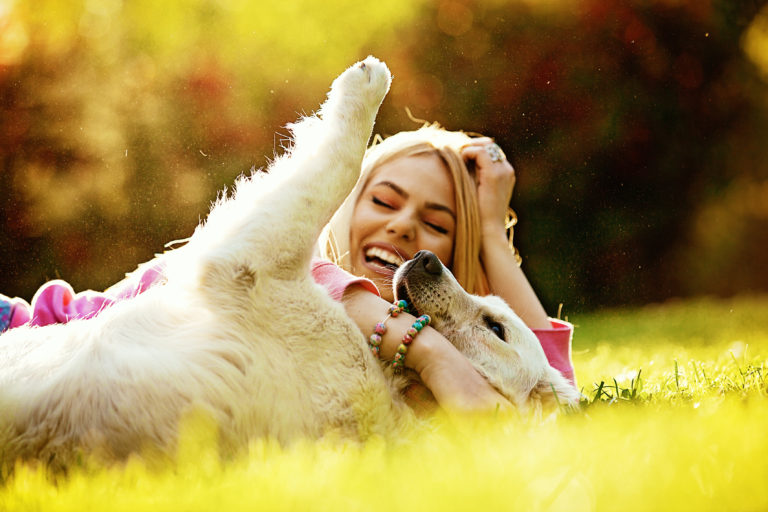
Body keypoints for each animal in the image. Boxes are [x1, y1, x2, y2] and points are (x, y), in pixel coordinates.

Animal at [0, 58, 576, 470]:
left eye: (495, 327)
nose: (427, 257)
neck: (402, 391)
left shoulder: (252, 266)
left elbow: (337, 165)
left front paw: (366, 84)